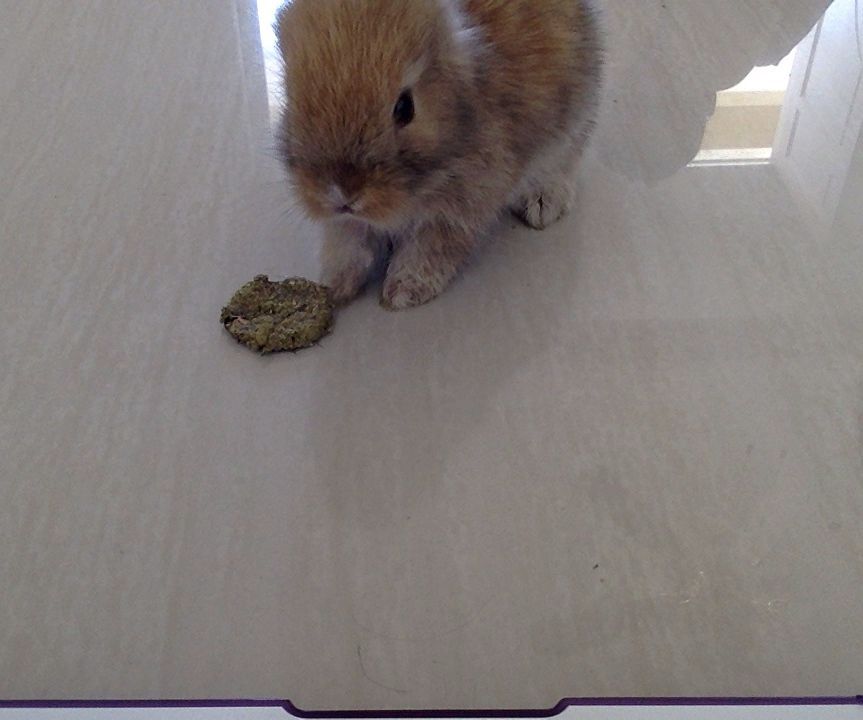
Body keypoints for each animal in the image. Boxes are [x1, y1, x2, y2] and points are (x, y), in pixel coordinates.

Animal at [276, 0, 603, 310]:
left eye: (405, 107)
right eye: (292, 98)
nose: (342, 193)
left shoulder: (463, 204)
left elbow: (432, 247)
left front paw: (403, 292)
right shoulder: (347, 223)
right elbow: (347, 244)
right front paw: (333, 287)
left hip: (572, 121)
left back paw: (542, 204)